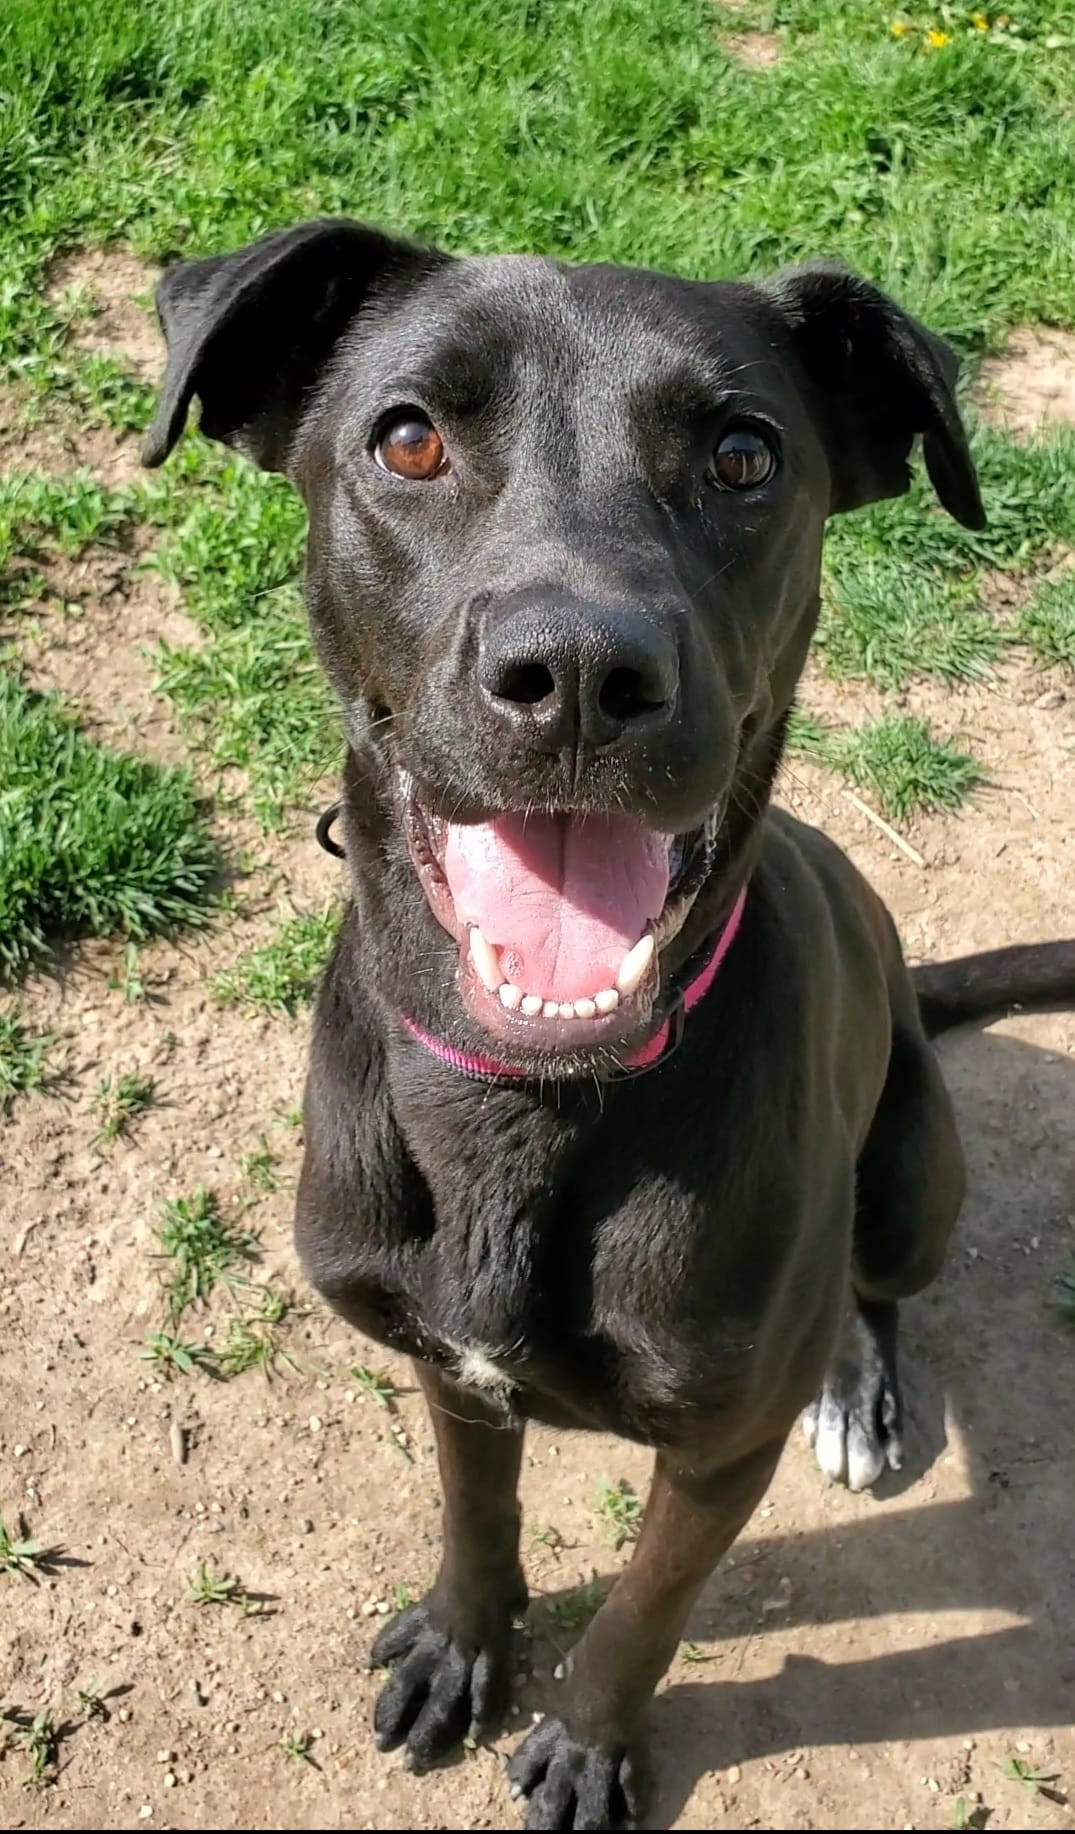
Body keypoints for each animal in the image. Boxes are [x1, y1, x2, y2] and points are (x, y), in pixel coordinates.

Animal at [144, 221, 1071, 1826]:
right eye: (407, 437)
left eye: (746, 455)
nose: (579, 672)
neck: (527, 1101)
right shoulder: (444, 1364)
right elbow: (477, 1513)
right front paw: (463, 1641)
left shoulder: (717, 1449)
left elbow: (645, 1610)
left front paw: (584, 1737)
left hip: (908, 1175)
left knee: (874, 1284)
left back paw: (857, 1386)